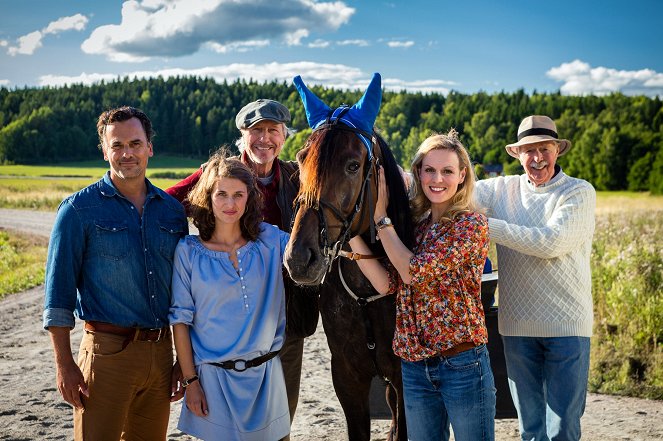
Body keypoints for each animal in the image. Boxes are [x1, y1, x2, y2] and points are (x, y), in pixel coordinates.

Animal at [286, 117, 416, 440]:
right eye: (301, 159)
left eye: (353, 165)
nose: (299, 258)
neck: (366, 294)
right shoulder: (347, 378)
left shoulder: (405, 378)